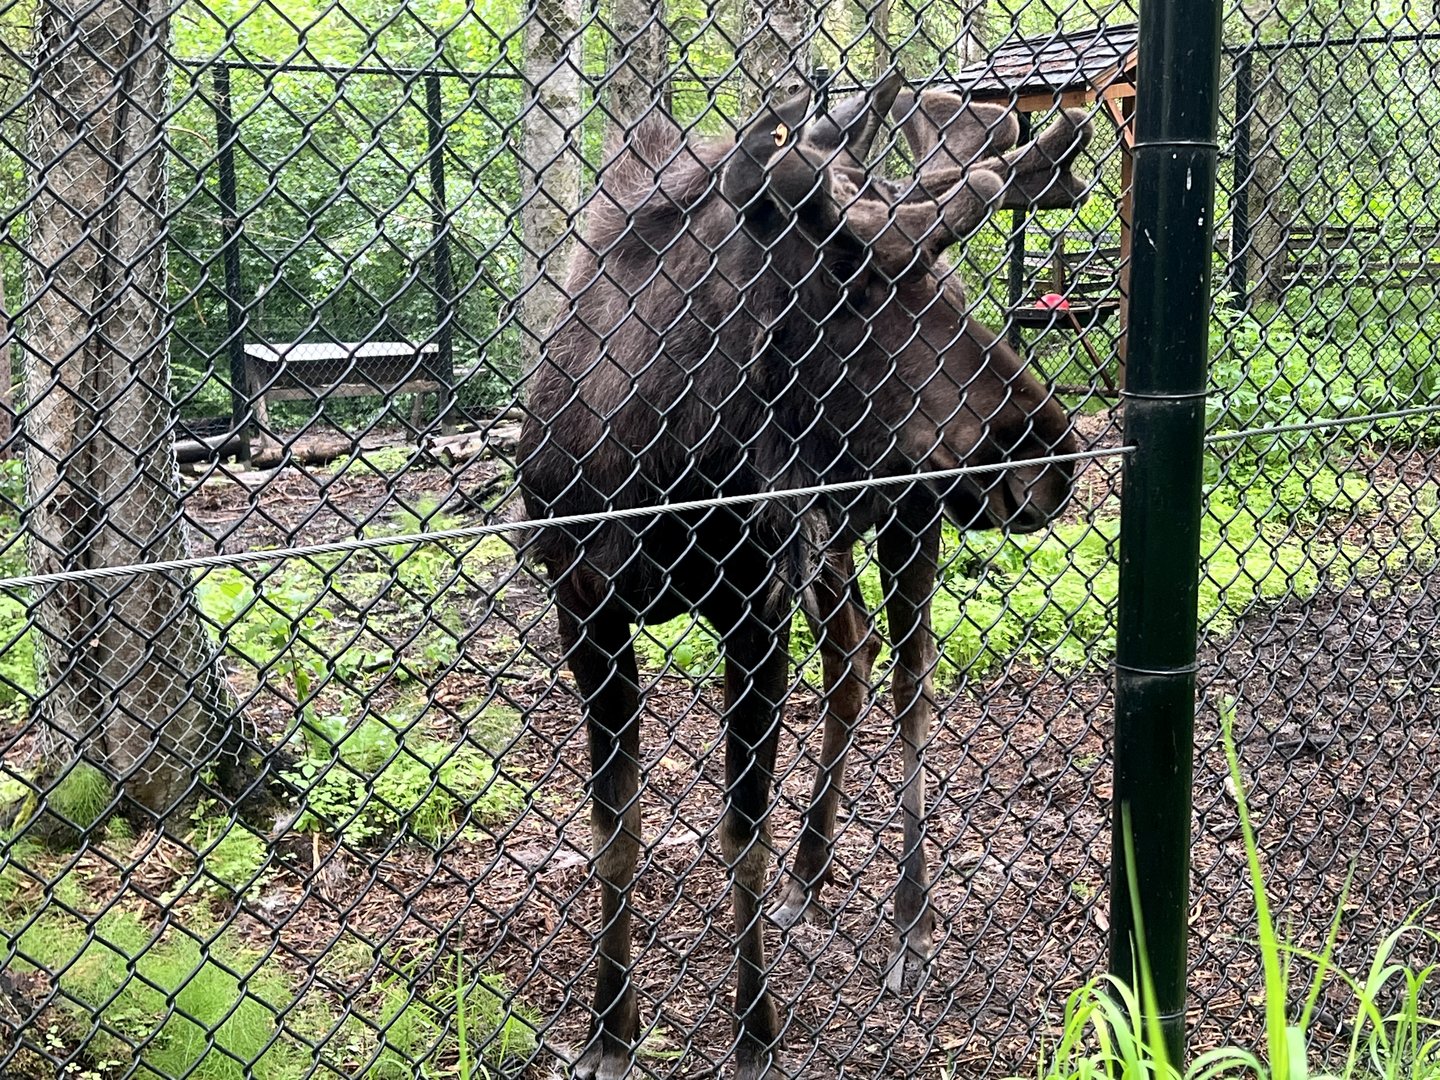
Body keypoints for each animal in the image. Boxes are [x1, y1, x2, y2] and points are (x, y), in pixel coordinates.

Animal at [517, 74, 1091, 1080]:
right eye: (848, 281)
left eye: (941, 267)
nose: (1051, 457)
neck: (656, 462)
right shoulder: (583, 609)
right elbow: (614, 836)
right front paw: (610, 1032)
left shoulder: (753, 607)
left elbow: (740, 836)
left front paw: (754, 1033)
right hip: (833, 541)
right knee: (852, 662)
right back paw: (811, 877)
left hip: (910, 515)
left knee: (910, 685)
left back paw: (910, 925)